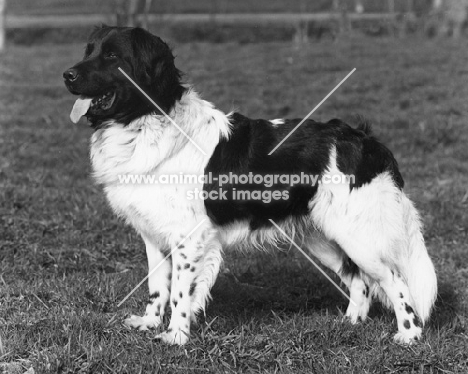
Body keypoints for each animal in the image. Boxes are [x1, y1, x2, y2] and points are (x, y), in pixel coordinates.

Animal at [64, 26, 436, 346]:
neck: (145, 122)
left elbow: (181, 292)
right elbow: (158, 286)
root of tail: (364, 139)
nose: (66, 75)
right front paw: (150, 323)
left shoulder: (189, 237)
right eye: (88, 50)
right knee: (359, 280)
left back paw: (408, 335)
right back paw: (349, 324)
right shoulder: (152, 234)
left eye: (112, 56)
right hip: (323, 237)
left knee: (396, 282)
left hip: (358, 236)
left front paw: (176, 337)